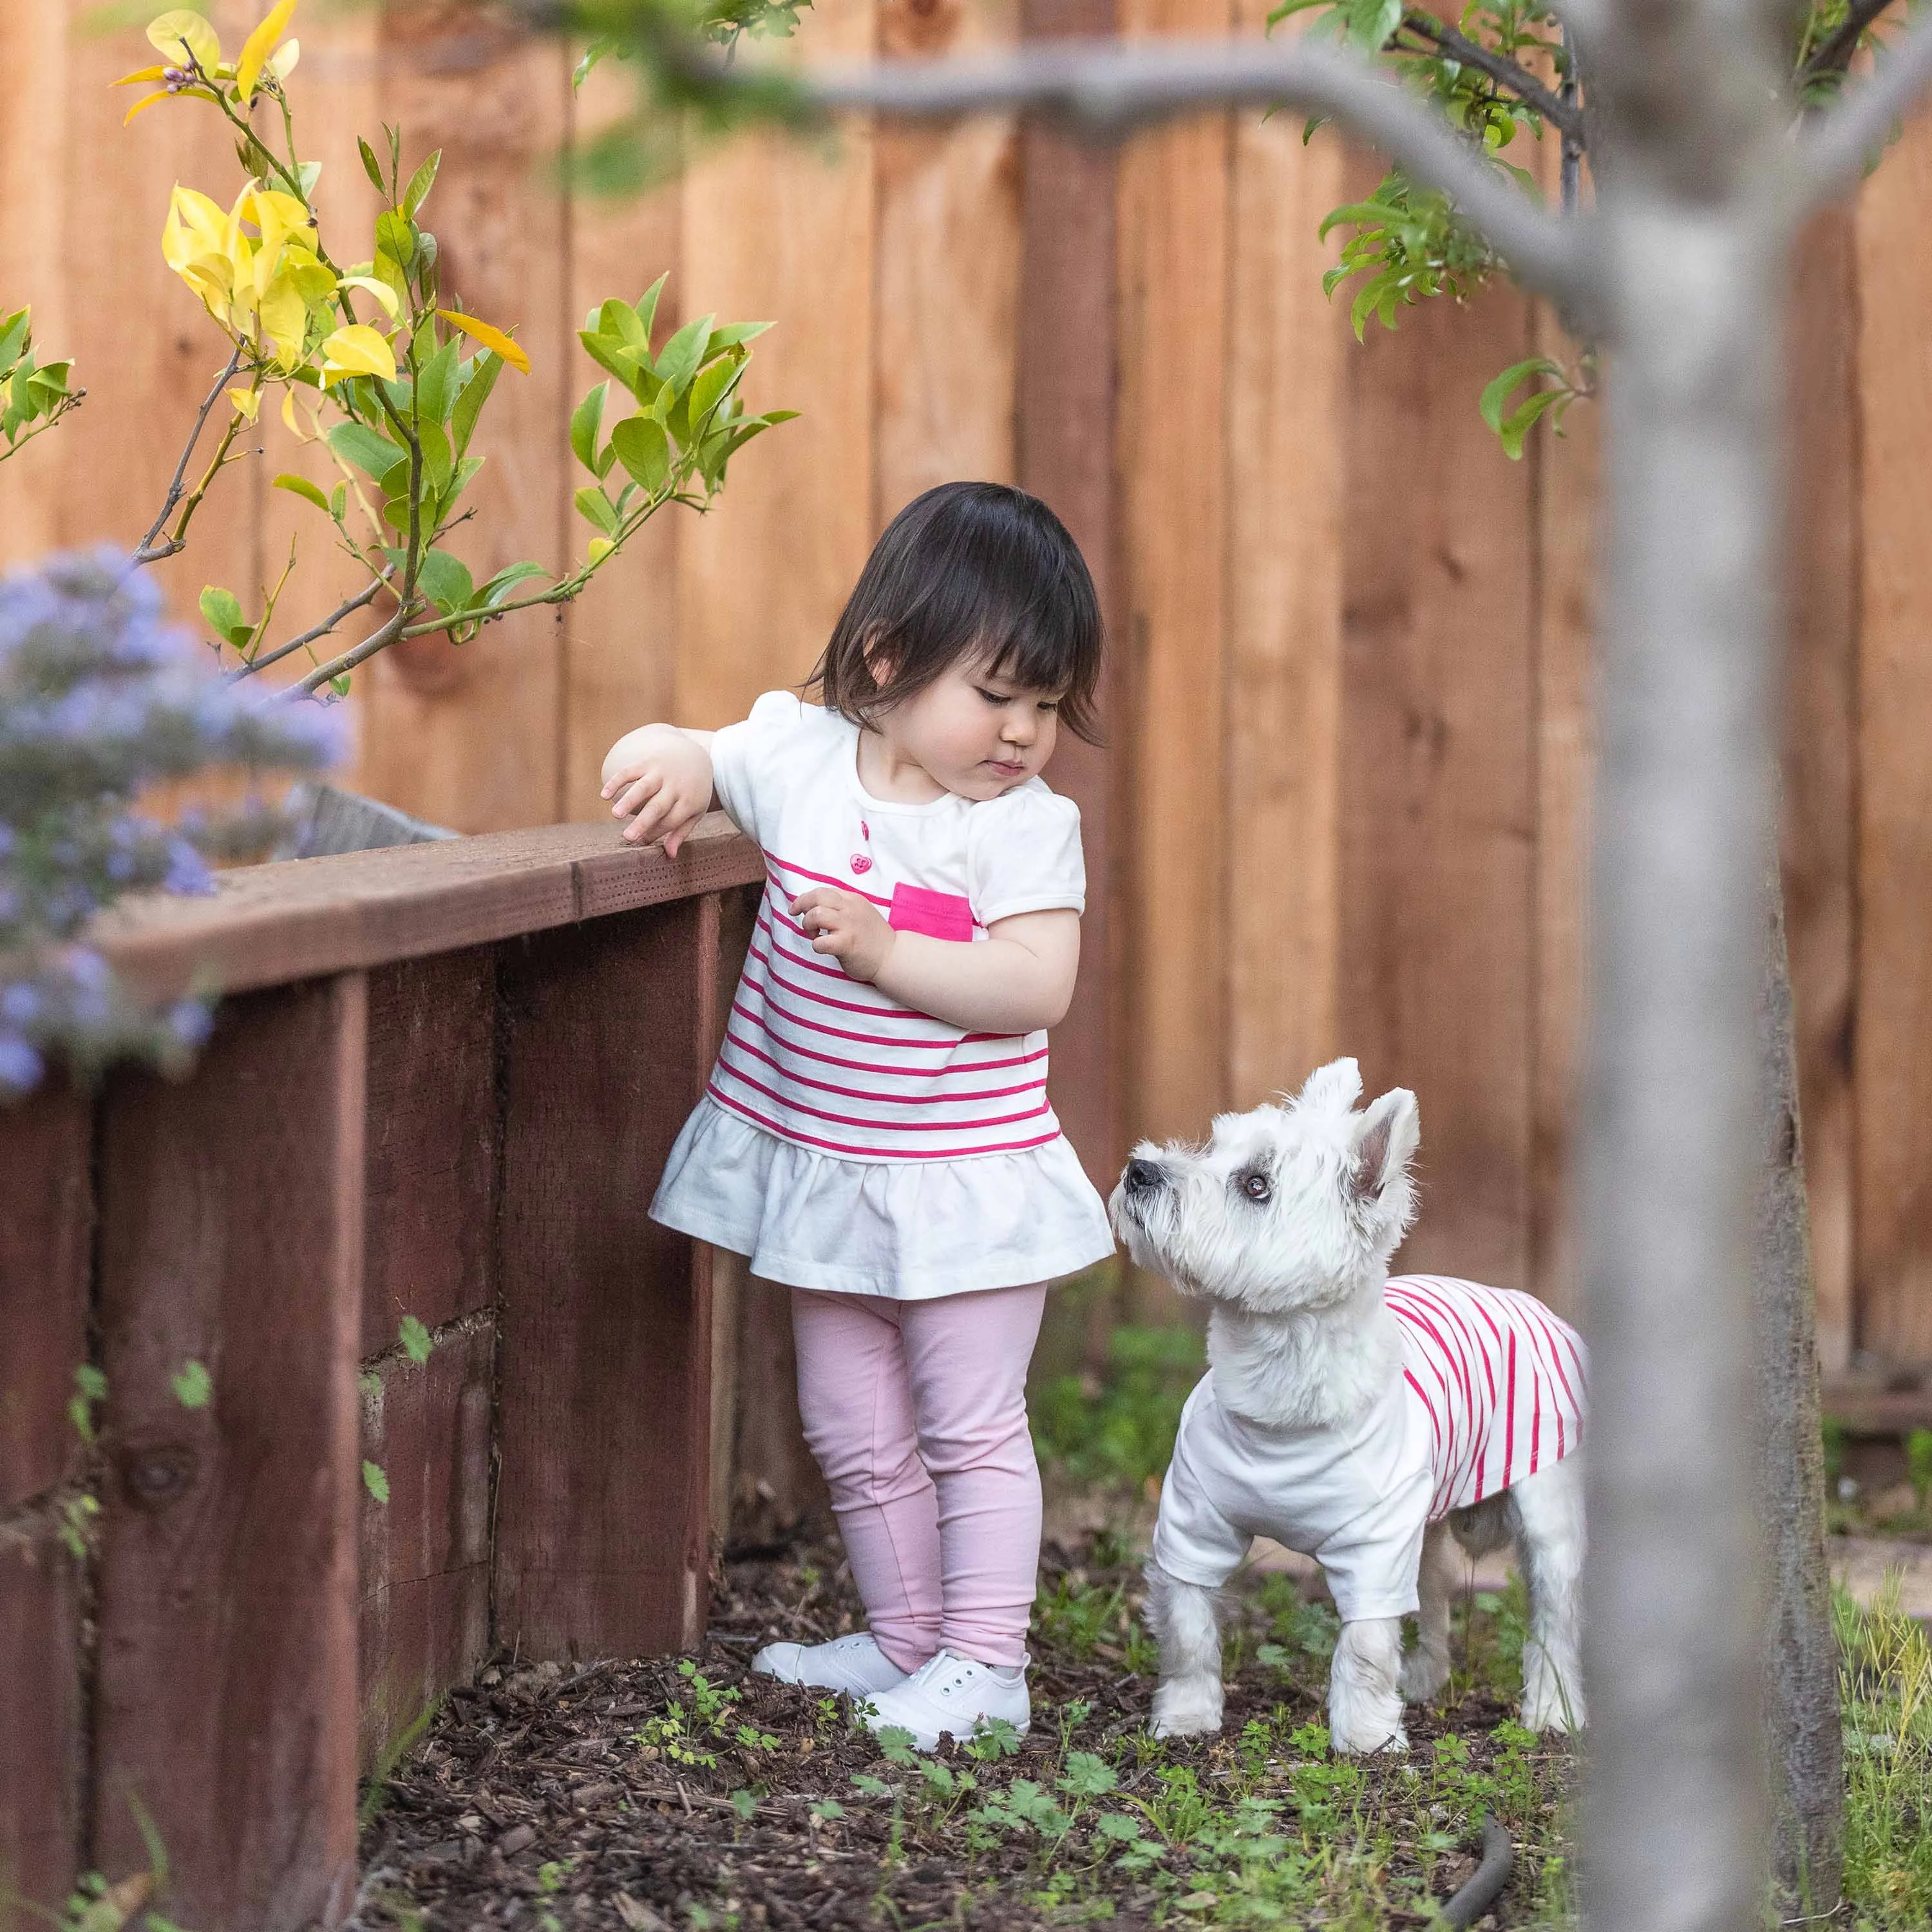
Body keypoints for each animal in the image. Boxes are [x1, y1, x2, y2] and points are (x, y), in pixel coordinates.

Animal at [1121, 1066, 1584, 1762]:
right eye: (1214, 1145)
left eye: (1255, 1184)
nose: (1138, 1170)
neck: (1278, 1401)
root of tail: (1523, 1298)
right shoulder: (1192, 1522)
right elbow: (1188, 1629)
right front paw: (1184, 1718)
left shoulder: (1376, 1545)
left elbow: (1364, 1647)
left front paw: (1365, 1737)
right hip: (1427, 1525)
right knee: (1435, 1598)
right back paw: (1424, 1679)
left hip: (1545, 1510)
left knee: (1553, 1618)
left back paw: (1552, 1711)